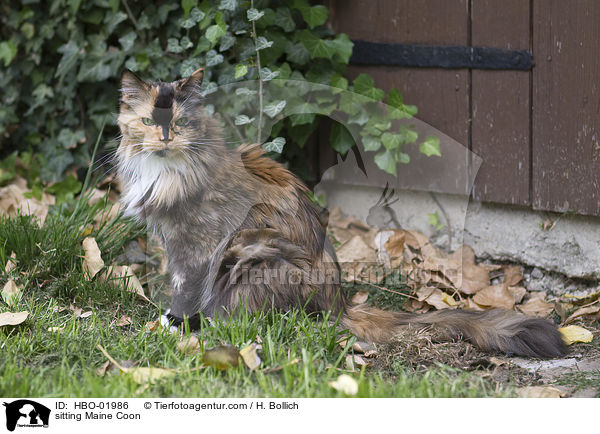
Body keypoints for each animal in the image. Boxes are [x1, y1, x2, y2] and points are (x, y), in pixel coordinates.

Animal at [116, 68, 568, 360]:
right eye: (148, 121)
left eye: (178, 122)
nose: (164, 138)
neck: (168, 173)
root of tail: (340, 303)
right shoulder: (173, 242)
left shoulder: (198, 245)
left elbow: (186, 289)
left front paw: (174, 324)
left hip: (254, 258)